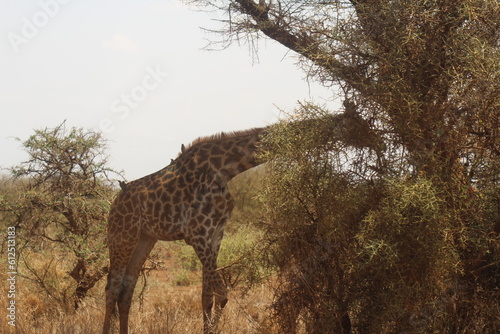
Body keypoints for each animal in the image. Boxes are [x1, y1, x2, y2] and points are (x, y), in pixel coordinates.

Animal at [102, 126, 270, 334]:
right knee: (112, 289)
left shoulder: (215, 233)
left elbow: (207, 297)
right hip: (122, 236)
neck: (224, 169)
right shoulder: (196, 233)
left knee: (126, 290)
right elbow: (222, 294)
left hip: (145, 239)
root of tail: (113, 203)